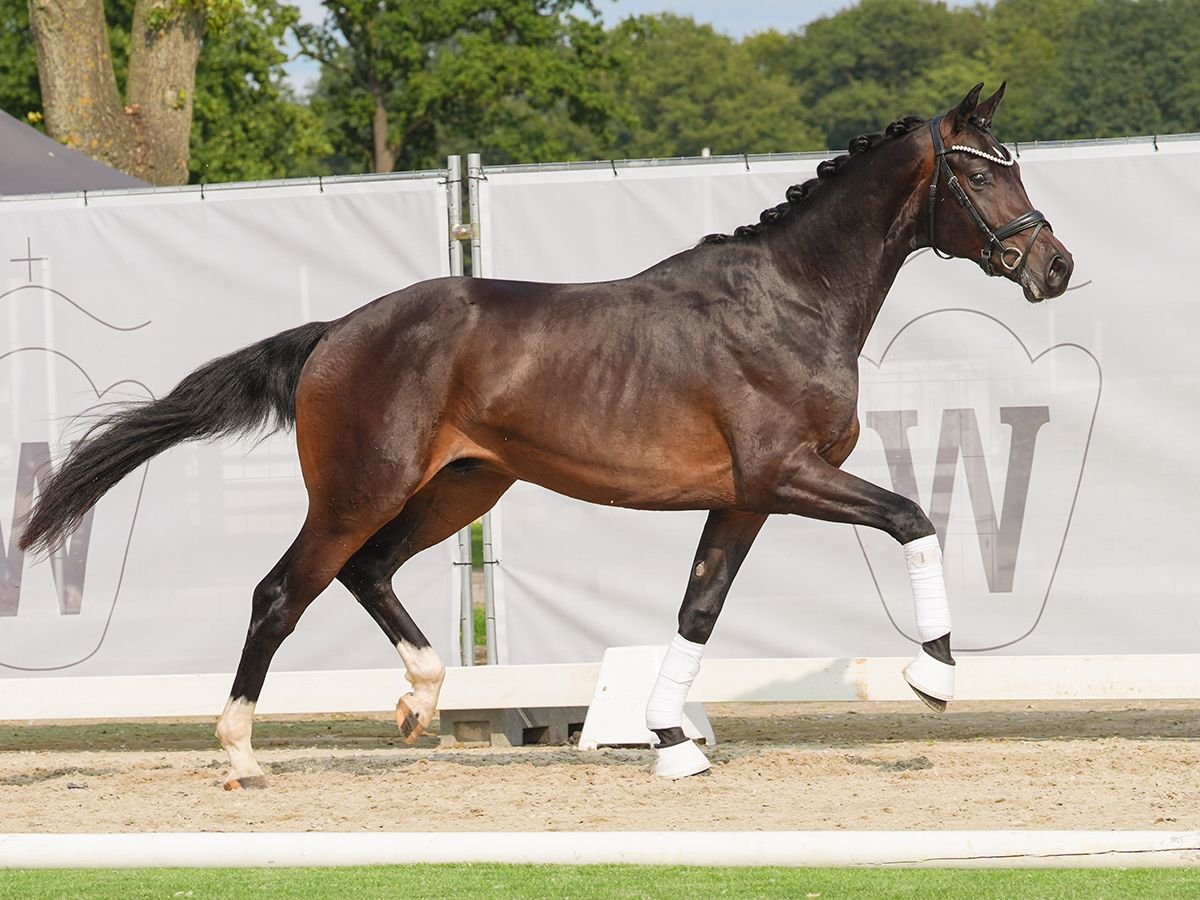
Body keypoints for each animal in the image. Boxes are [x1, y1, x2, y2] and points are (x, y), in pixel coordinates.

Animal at [18, 86, 1070, 787]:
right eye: (981, 169)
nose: (1054, 265)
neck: (792, 300)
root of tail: (336, 332)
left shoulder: (744, 498)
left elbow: (697, 611)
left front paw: (672, 743)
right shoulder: (789, 475)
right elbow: (913, 518)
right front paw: (932, 676)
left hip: (460, 488)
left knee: (369, 572)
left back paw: (420, 702)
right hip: (361, 490)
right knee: (282, 593)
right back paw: (240, 755)